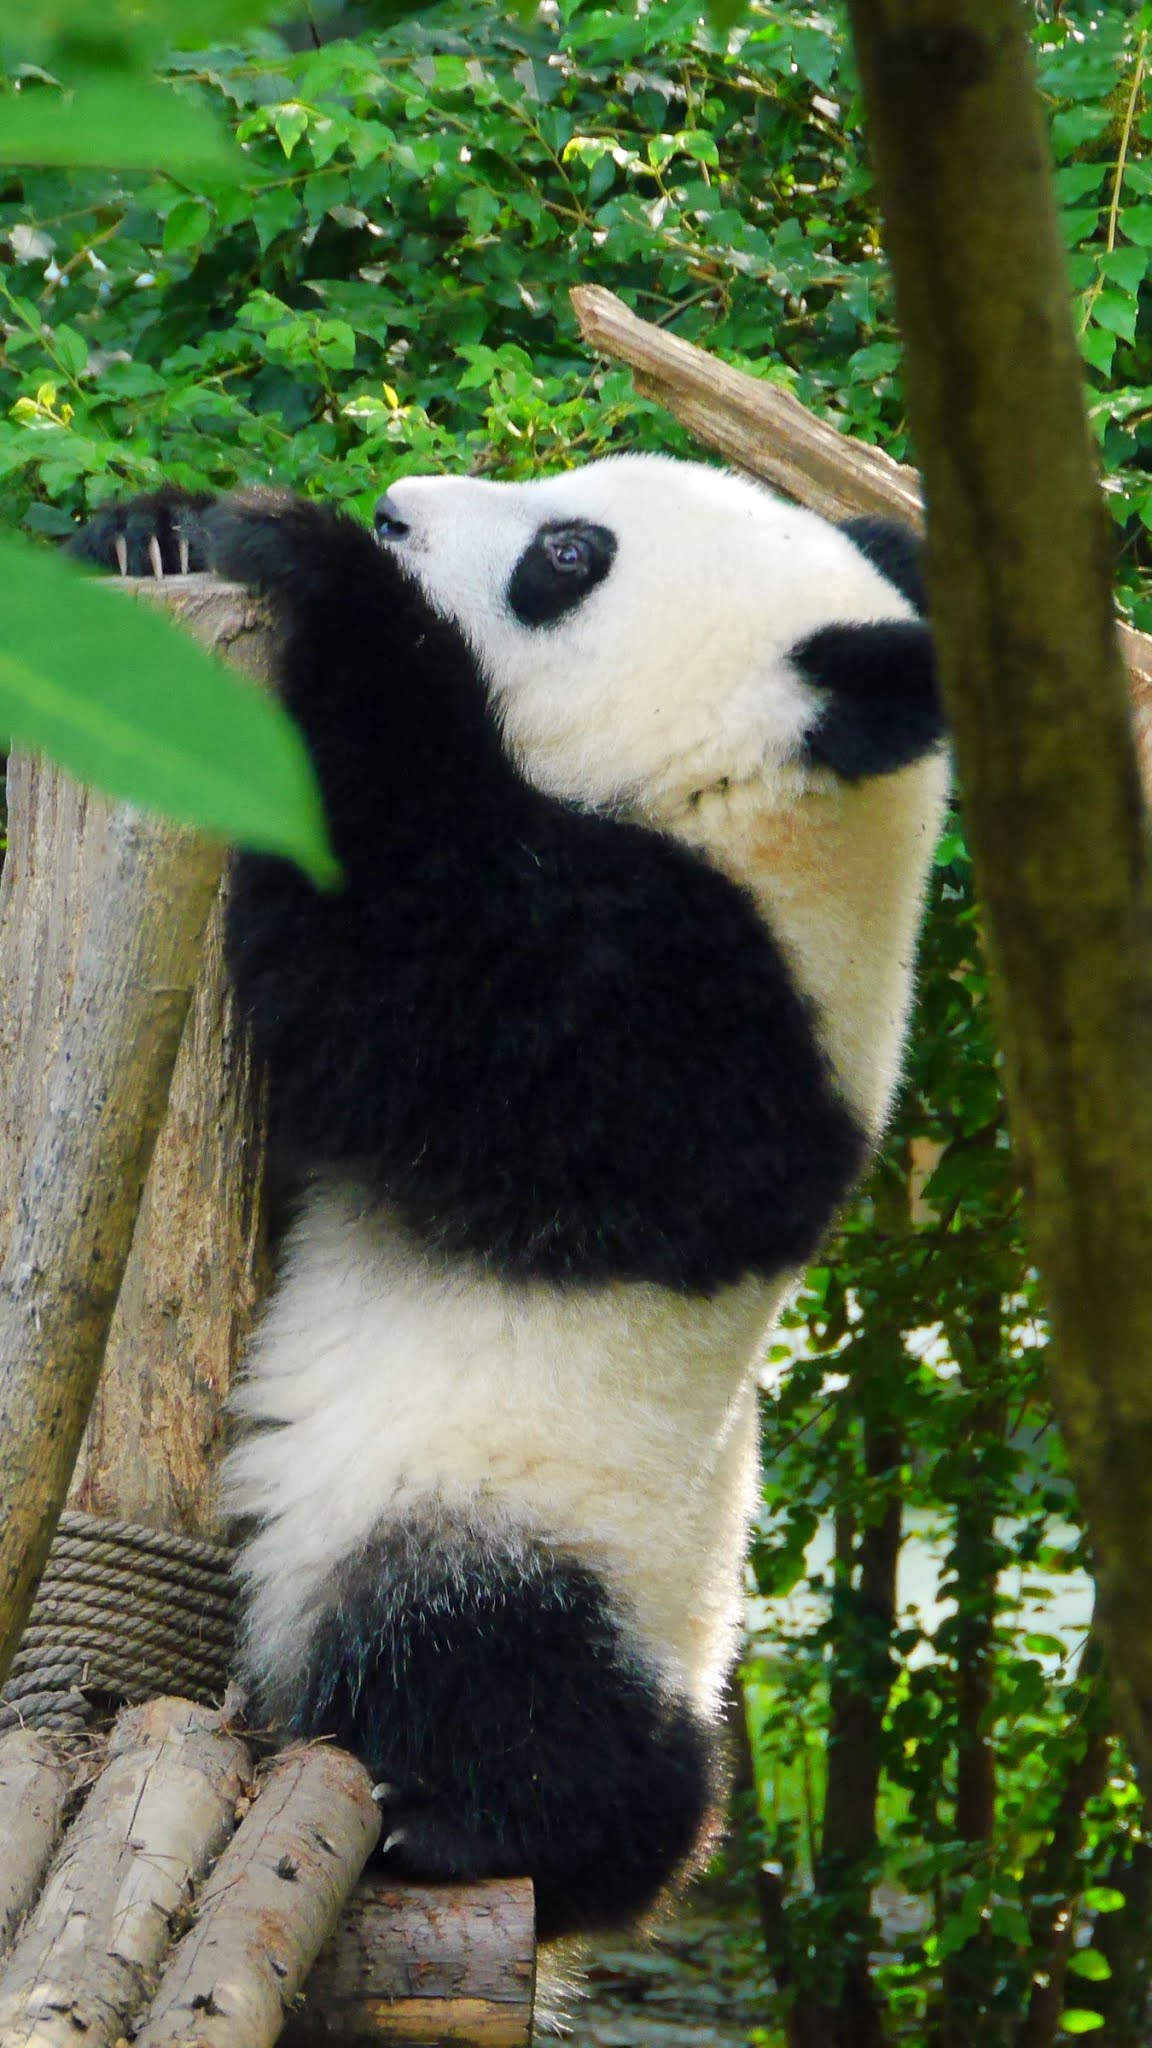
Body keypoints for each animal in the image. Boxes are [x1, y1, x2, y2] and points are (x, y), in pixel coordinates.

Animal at [70, 455, 947, 1941]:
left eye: (570, 554)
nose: (396, 510)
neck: (741, 818)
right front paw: (151, 530)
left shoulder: (699, 1024)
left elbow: (416, 974)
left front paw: (323, 568)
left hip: (528, 1519)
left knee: (502, 1665)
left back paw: (468, 1818)